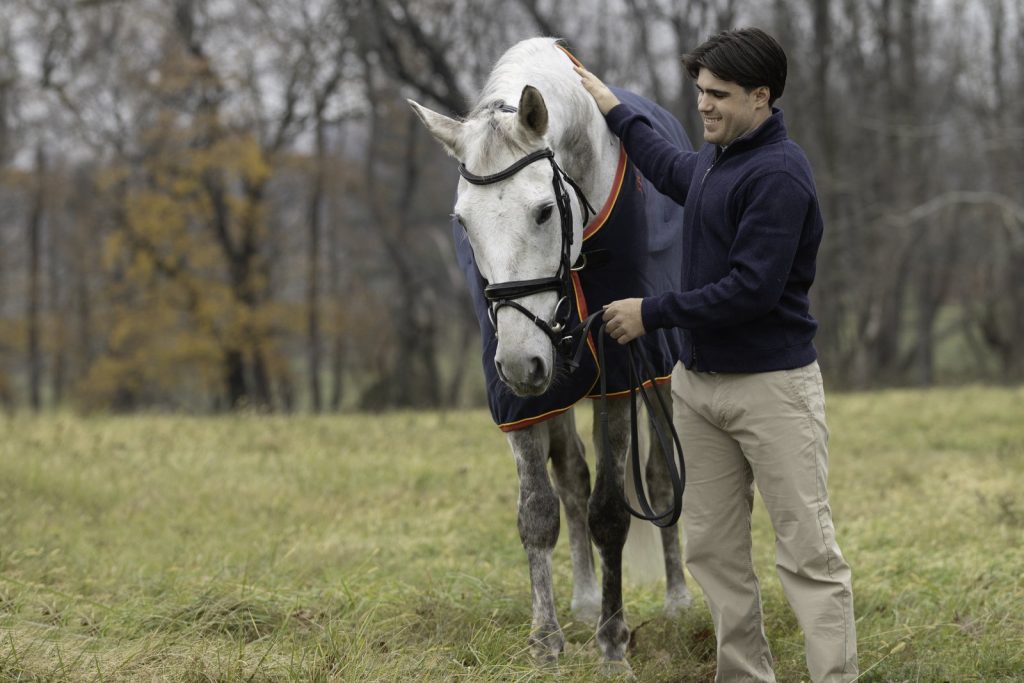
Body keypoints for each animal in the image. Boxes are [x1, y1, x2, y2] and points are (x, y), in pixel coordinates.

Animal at [409, 37, 694, 668]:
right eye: (463, 222)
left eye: (543, 209)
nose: (521, 363)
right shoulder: (522, 398)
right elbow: (539, 512)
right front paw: (547, 639)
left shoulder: (618, 373)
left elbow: (611, 511)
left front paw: (613, 643)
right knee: (572, 480)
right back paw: (585, 601)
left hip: (652, 372)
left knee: (660, 479)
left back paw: (678, 599)